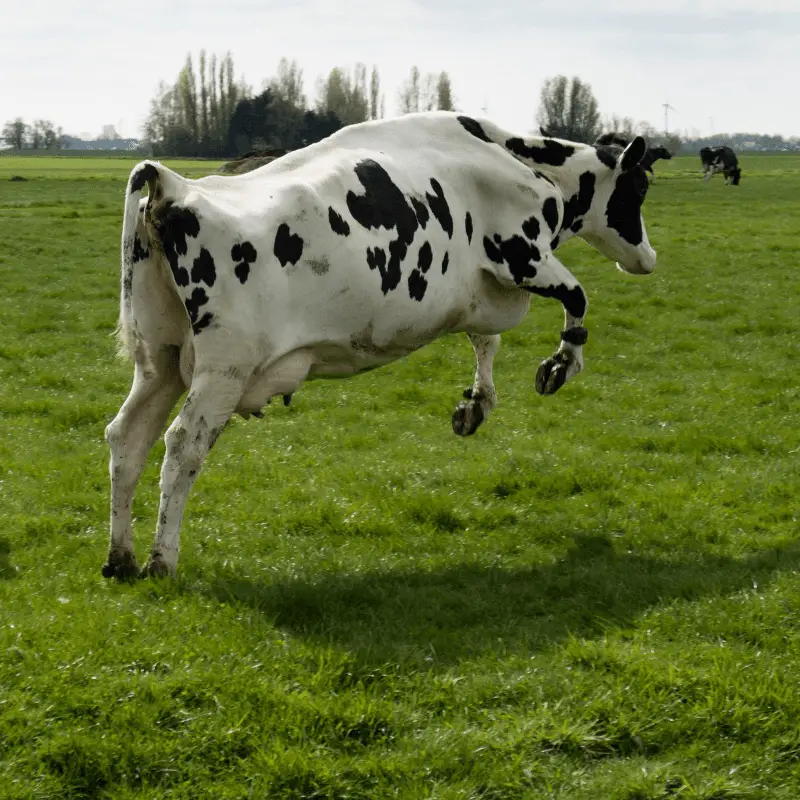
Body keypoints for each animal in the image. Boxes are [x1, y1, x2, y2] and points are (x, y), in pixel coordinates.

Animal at [103, 109, 660, 580]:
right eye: (637, 190)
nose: (648, 258)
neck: (509, 155)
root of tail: (175, 186)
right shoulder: (520, 254)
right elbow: (577, 297)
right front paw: (561, 365)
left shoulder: (480, 289)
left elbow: (487, 340)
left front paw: (475, 403)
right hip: (223, 371)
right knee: (182, 447)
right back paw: (161, 561)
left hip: (160, 364)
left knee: (127, 438)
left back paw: (121, 559)